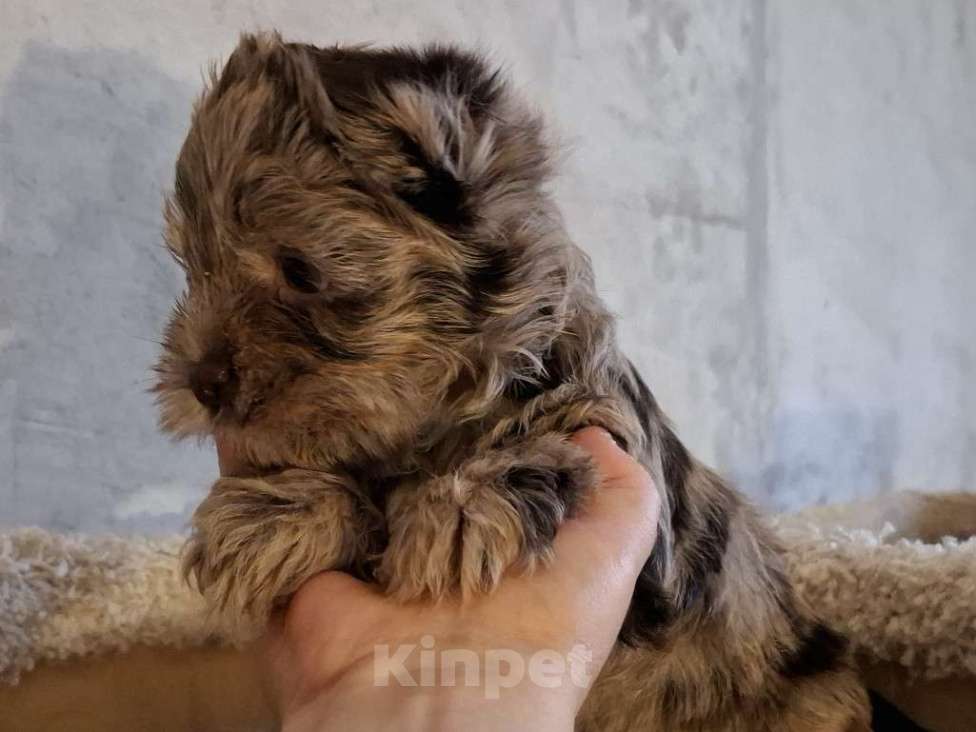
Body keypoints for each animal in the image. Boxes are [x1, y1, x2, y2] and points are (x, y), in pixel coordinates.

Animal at [156, 33, 872, 732]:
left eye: (301, 271)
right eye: (194, 268)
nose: (203, 383)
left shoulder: (622, 462)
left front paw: (466, 497)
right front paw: (277, 513)